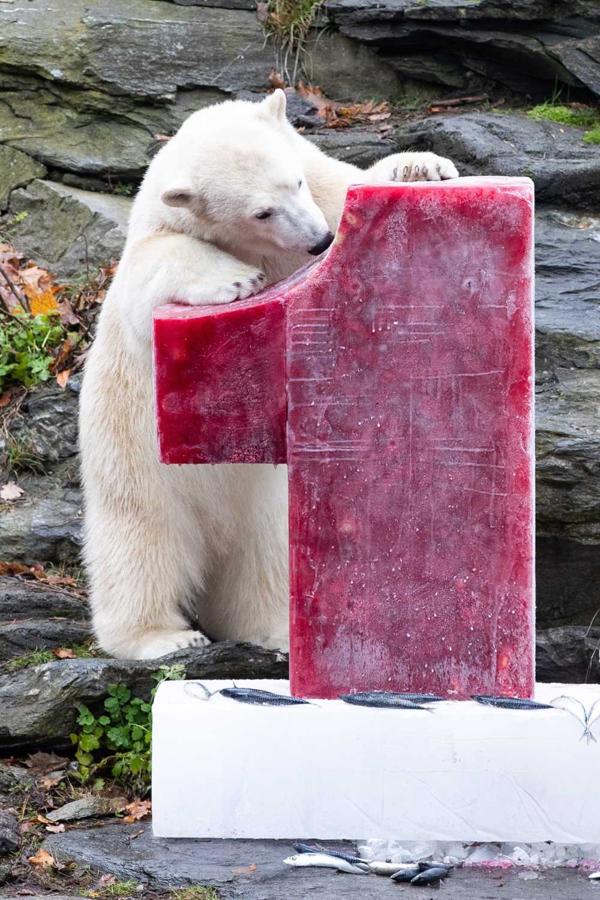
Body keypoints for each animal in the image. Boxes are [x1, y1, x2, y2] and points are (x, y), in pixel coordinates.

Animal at [77, 88, 458, 656]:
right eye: (262, 211)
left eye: (293, 182)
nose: (319, 239)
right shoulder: (157, 236)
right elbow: (154, 277)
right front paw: (236, 280)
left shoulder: (320, 187)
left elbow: (350, 189)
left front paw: (421, 167)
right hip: (138, 472)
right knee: (142, 549)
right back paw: (164, 637)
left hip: (267, 502)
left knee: (269, 558)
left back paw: (273, 628)